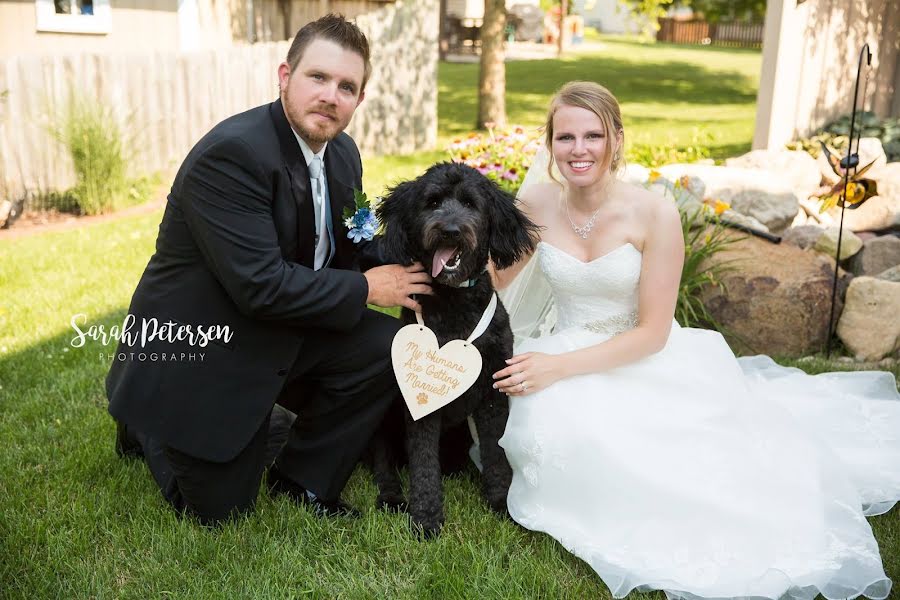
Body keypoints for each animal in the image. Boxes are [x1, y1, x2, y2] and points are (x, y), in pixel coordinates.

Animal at [374, 162, 540, 536]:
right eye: (432, 202)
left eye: (470, 204)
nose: (450, 231)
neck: (454, 301)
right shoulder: (418, 405)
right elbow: (423, 461)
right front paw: (426, 517)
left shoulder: (494, 388)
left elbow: (496, 449)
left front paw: (501, 501)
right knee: (382, 462)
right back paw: (392, 497)